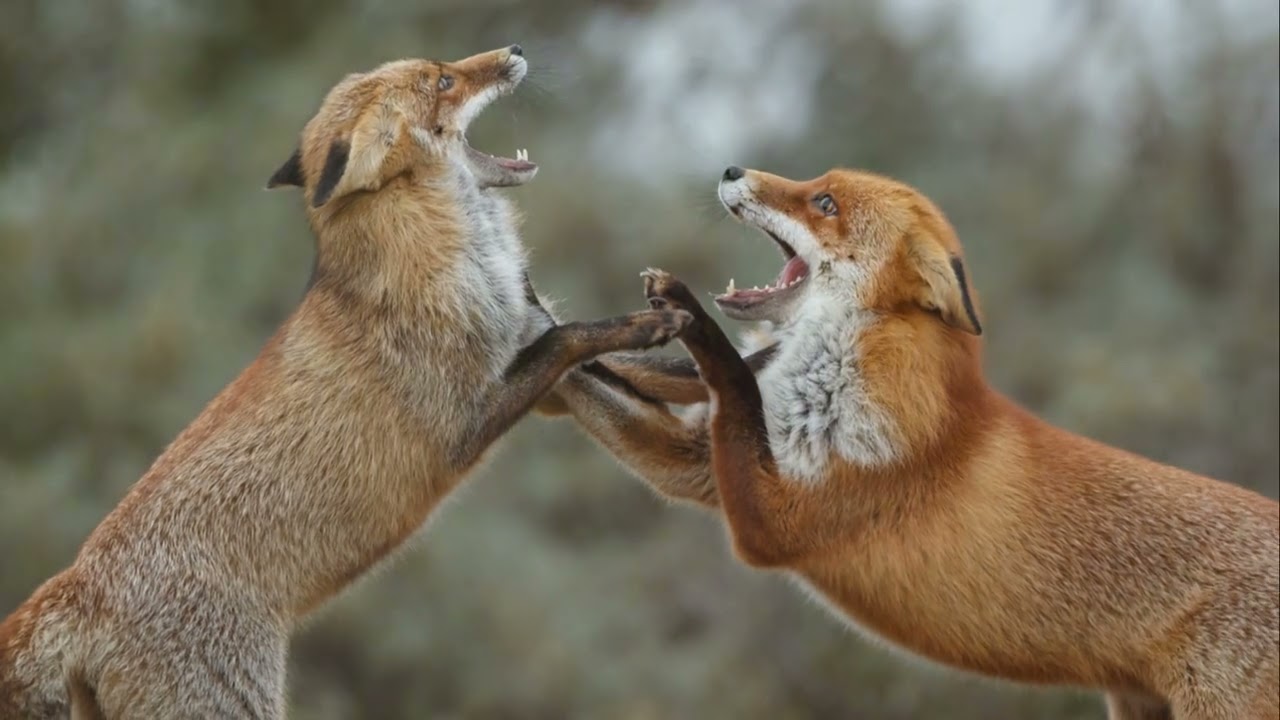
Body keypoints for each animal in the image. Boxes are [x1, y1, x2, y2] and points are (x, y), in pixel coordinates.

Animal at [0, 46, 713, 720]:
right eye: (443, 81)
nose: (514, 50)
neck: (453, 259)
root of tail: (74, 584)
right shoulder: (471, 414)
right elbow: (576, 339)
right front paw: (658, 323)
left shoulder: (535, 356)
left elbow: (629, 368)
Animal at [548, 166, 1280, 720]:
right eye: (815, 184)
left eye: (824, 203)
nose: (732, 170)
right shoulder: (706, 464)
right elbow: (614, 382)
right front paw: (546, 336)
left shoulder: (773, 523)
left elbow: (730, 371)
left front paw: (687, 311)